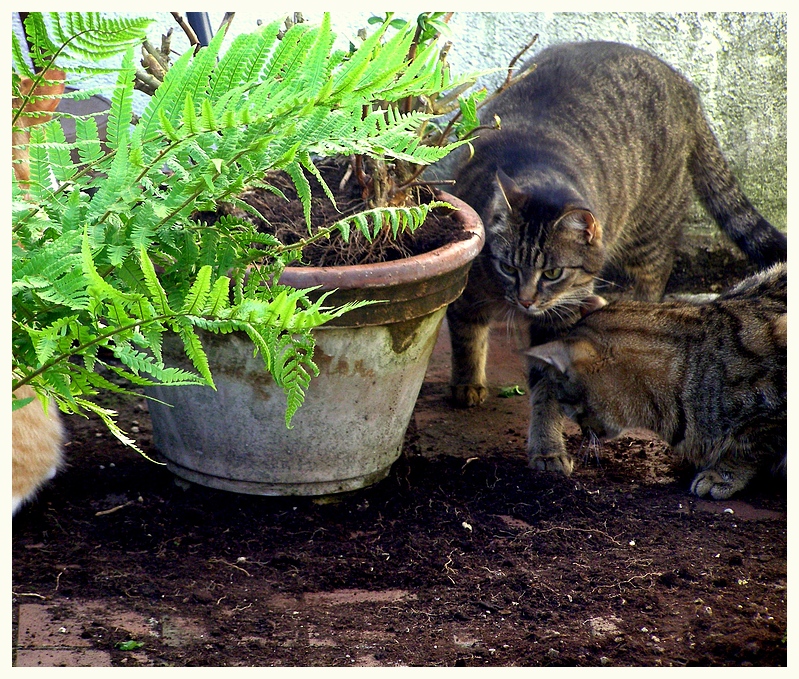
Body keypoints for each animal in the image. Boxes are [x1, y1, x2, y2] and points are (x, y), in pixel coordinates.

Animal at [446, 38, 792, 472]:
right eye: (508, 266)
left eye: (553, 273)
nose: (525, 301)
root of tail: (681, 82)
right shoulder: (469, 289)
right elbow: (466, 336)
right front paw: (467, 383)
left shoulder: (558, 316)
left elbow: (546, 385)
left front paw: (547, 446)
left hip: (649, 235)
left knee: (652, 283)